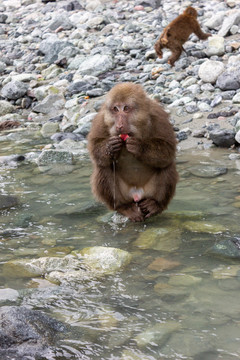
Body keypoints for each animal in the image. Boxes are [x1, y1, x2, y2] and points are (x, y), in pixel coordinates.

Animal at [88, 82, 178, 222]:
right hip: (125, 195)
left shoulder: (158, 115)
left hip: (148, 192)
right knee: (103, 167)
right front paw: (110, 146)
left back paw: (155, 205)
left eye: (126, 108)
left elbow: (167, 149)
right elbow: (95, 150)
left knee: (167, 165)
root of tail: (136, 195)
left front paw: (139, 147)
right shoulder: (101, 119)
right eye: (115, 109)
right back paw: (123, 207)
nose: (119, 125)